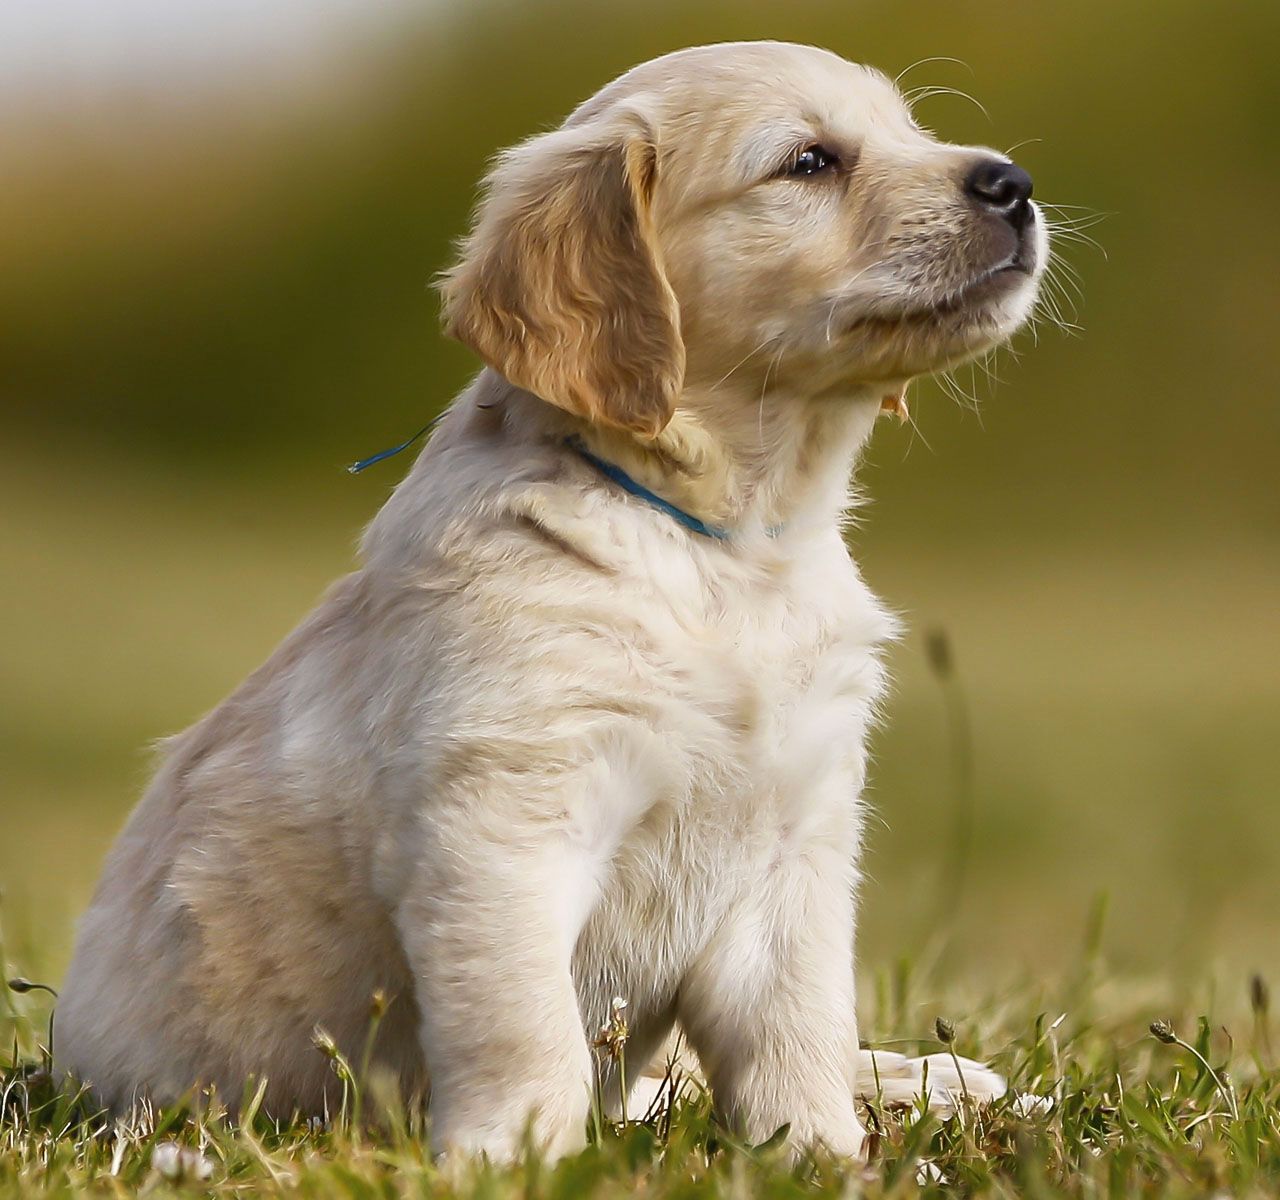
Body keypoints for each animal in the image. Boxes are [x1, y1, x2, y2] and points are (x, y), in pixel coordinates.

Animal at [55, 42, 1044, 1156]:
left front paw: (821, 1156)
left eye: (912, 132)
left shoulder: (797, 840)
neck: (725, 547)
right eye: (807, 161)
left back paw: (947, 1081)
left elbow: (798, 1031)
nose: (1012, 183)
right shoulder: (505, 824)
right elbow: (525, 1027)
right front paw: (512, 1155)